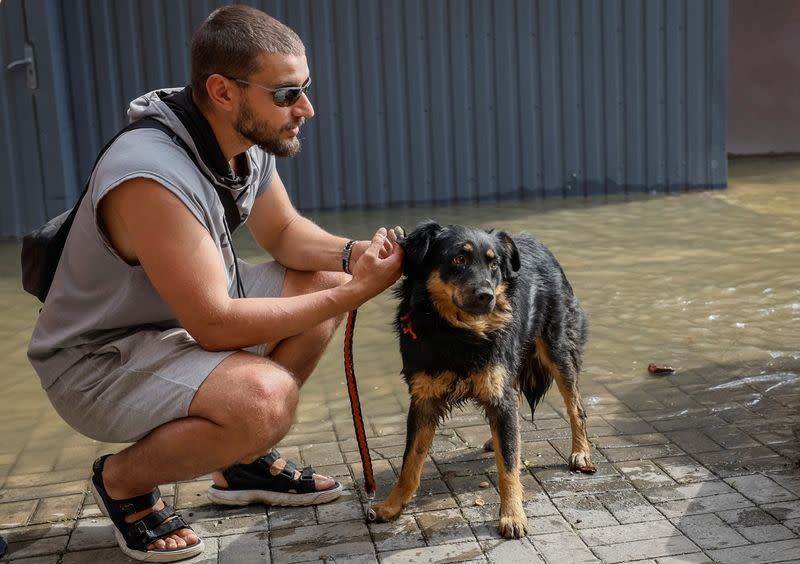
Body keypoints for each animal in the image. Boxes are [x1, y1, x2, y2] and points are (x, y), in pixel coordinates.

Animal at [370, 220, 592, 536]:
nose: (487, 295)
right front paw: (392, 505)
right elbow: (410, 460)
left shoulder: (499, 390)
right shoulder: (423, 399)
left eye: (494, 264)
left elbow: (508, 465)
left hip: (557, 350)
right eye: (458, 259)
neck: (457, 331)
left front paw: (512, 515)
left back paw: (581, 452)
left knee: (576, 407)